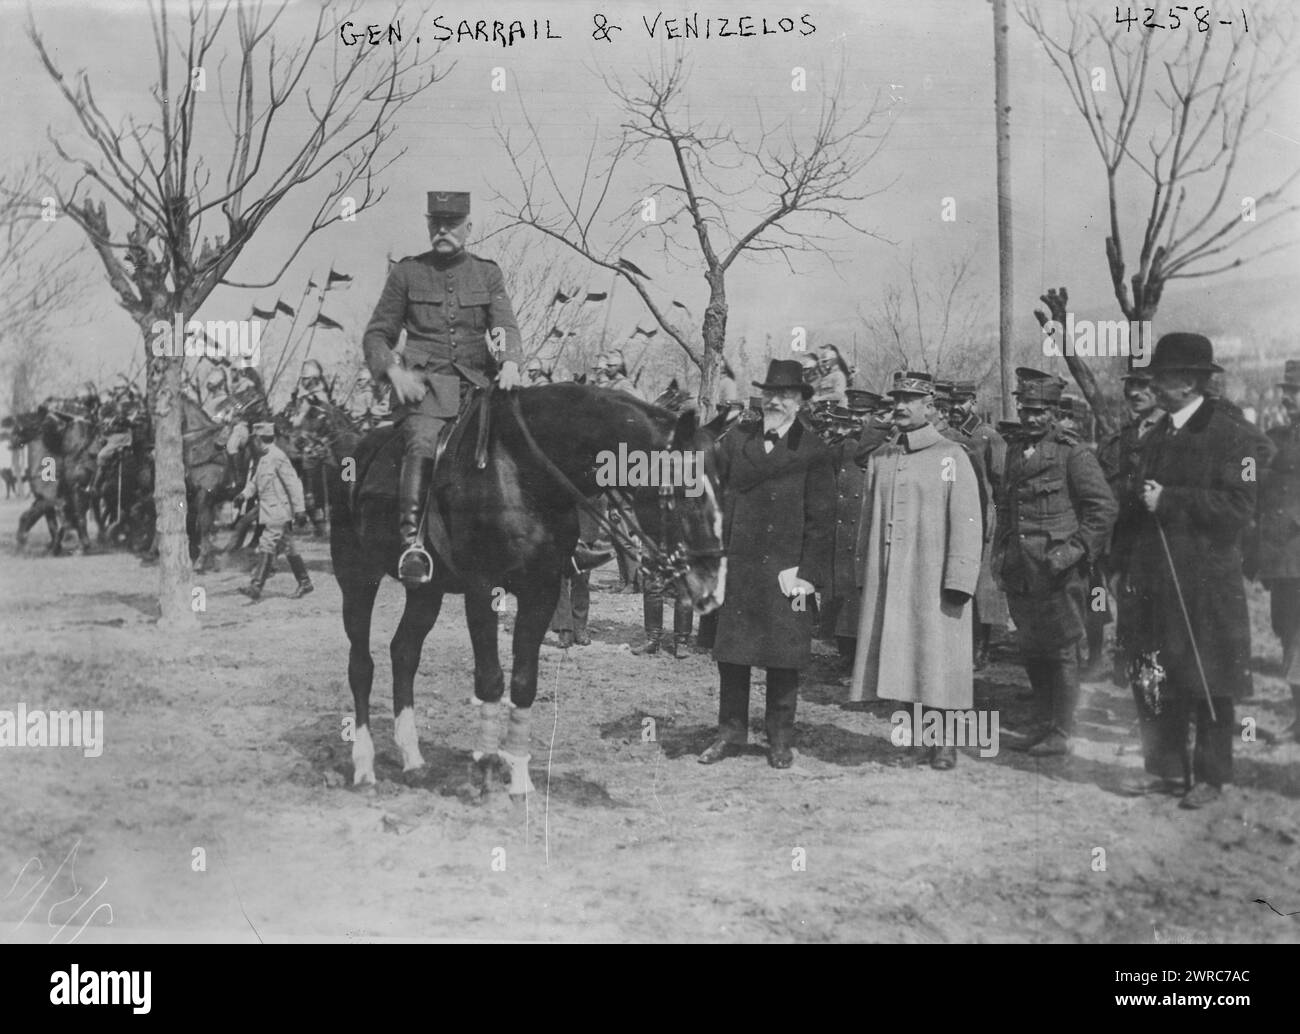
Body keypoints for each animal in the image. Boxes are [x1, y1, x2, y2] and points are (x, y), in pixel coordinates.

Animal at [330, 384, 728, 795]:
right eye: (684, 490)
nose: (711, 585)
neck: (522, 473)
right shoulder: (482, 590)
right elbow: (490, 679)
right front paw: (489, 771)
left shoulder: (542, 591)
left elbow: (524, 682)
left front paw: (519, 777)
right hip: (356, 576)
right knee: (361, 664)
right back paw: (364, 767)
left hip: (427, 592)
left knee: (404, 653)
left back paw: (413, 760)